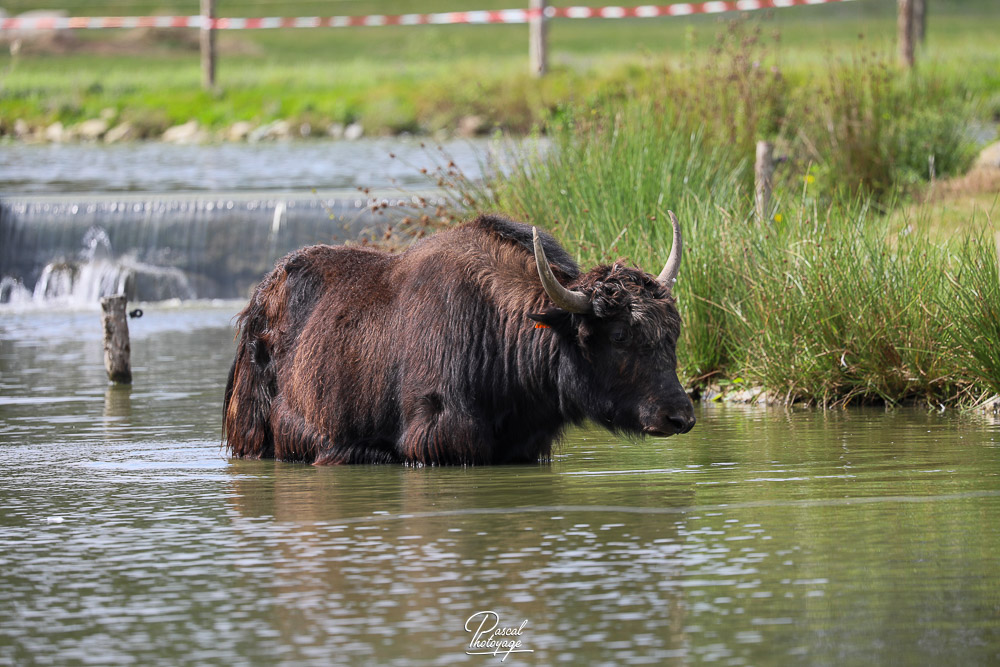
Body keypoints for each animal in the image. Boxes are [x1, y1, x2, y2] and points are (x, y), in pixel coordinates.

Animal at [224, 212, 695, 465]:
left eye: (672, 334)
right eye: (618, 335)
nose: (680, 417)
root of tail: (258, 303)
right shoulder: (439, 443)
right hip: (256, 438)